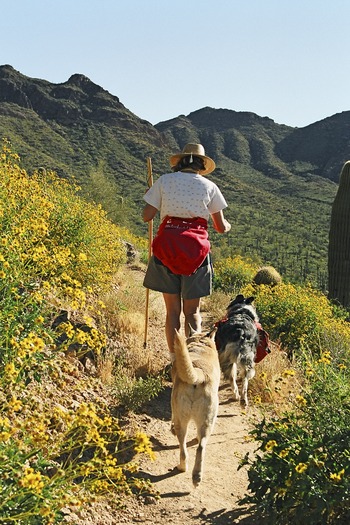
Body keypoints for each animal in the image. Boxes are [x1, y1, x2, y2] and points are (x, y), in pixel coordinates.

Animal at [171, 326, 220, 486]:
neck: (200, 341)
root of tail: (199, 373)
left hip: (183, 420)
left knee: (184, 447)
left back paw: (184, 469)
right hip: (207, 422)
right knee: (200, 447)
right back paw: (196, 475)